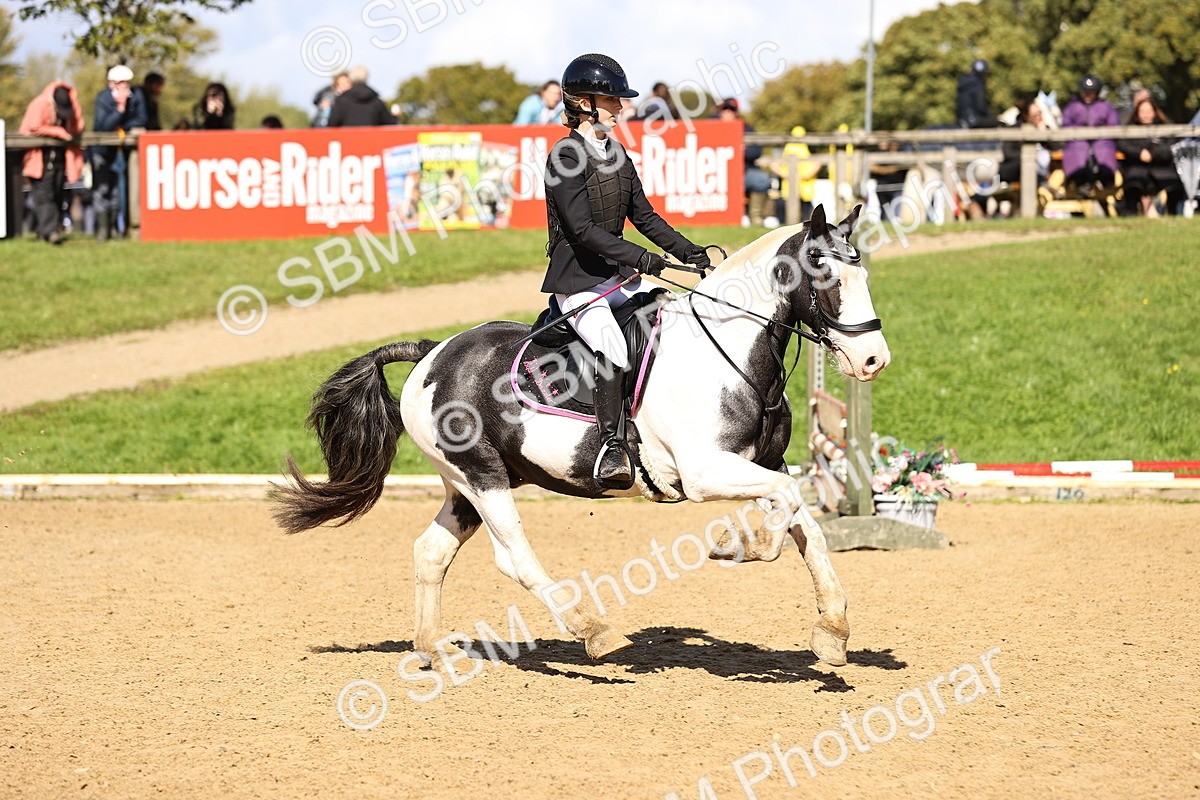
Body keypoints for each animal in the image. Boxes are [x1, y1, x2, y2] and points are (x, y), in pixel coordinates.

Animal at [272, 203, 890, 668]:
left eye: (864, 274)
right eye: (827, 275)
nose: (873, 360)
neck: (731, 352)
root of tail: (433, 351)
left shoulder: (770, 464)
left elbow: (807, 525)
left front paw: (832, 631)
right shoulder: (704, 471)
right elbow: (783, 513)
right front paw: (739, 546)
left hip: (465, 483)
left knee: (431, 552)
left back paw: (433, 648)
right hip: (483, 476)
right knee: (513, 558)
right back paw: (591, 630)